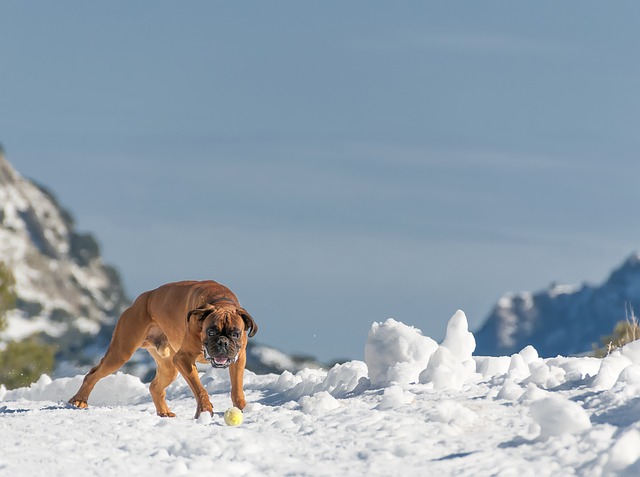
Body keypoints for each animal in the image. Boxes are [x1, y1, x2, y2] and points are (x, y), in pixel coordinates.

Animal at [68, 278, 258, 416]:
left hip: (169, 368)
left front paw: (242, 408)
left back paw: (164, 413)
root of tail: (141, 299)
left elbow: (237, 388)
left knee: (155, 387)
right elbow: (199, 388)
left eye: (235, 334)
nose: (222, 342)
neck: (220, 301)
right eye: (211, 332)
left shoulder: (239, 359)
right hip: (121, 353)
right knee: (93, 374)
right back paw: (80, 400)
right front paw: (204, 410)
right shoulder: (183, 359)